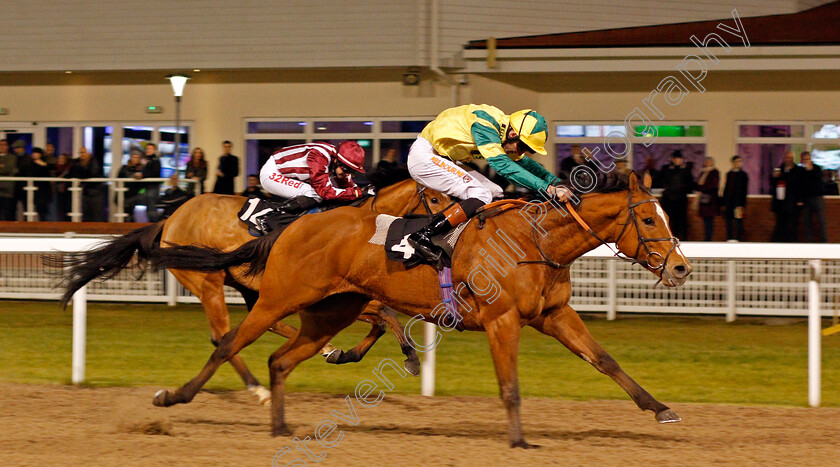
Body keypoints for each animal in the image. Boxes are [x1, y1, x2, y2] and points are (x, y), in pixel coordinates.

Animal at [57, 177, 452, 404]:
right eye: (434, 199)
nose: (445, 229)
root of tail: (171, 218)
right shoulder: (330, 292)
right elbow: (383, 314)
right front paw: (404, 357)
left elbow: (384, 316)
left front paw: (348, 353)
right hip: (208, 283)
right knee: (223, 336)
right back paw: (259, 388)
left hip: (247, 288)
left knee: (256, 327)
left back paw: (323, 351)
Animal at [148, 173, 692, 450]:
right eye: (648, 220)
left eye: (665, 216)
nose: (681, 268)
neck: (536, 241)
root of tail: (292, 227)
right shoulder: (502, 320)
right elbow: (510, 385)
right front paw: (519, 441)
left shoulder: (554, 314)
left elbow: (605, 361)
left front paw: (660, 409)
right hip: (279, 297)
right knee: (228, 342)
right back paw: (174, 397)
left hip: (330, 312)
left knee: (279, 359)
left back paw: (281, 425)